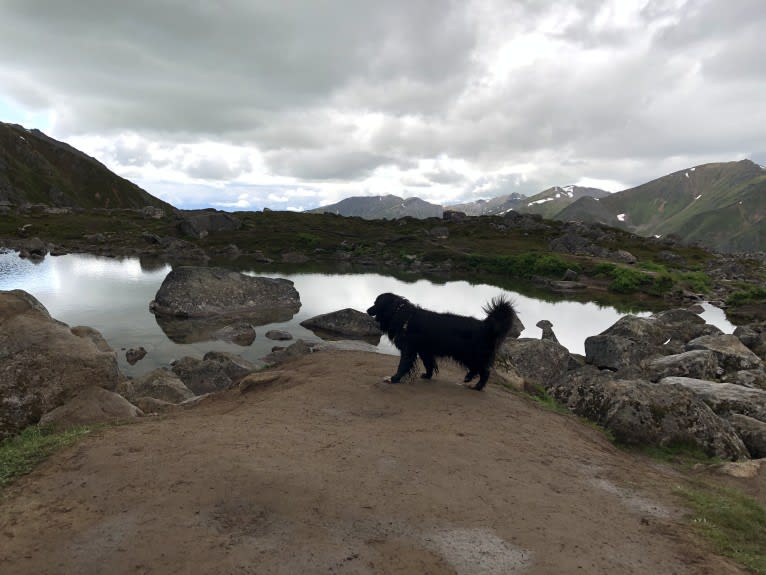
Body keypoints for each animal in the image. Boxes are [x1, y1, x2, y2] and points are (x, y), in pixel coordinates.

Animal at [368, 292, 520, 392]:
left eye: (376, 302)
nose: (368, 310)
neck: (403, 316)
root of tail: (486, 326)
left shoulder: (409, 349)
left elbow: (403, 365)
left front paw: (394, 378)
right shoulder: (425, 350)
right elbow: (429, 364)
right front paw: (427, 375)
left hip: (472, 354)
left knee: (484, 371)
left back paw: (478, 386)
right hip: (468, 355)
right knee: (476, 368)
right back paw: (468, 378)